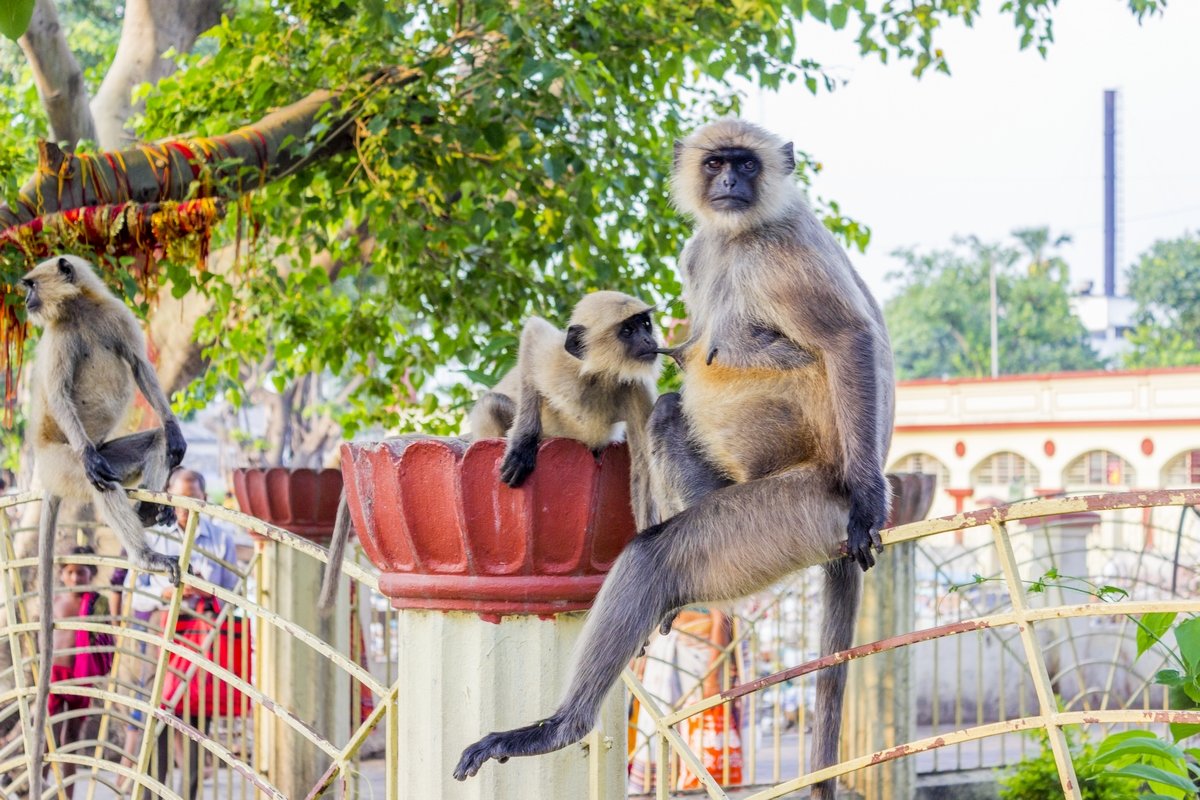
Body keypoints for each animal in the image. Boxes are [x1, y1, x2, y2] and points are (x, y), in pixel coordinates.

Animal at [19, 256, 183, 800]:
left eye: (29, 286)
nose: (25, 300)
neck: (79, 313)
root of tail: (47, 476)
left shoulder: (115, 316)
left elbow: (140, 366)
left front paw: (176, 432)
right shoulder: (56, 339)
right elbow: (60, 395)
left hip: (109, 451)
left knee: (150, 443)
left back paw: (152, 512)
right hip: (65, 462)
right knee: (97, 481)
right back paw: (145, 551)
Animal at [314, 293, 662, 614]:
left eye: (645, 324)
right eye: (628, 330)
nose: (650, 340)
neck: (596, 376)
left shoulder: (636, 388)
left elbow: (644, 469)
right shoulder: (557, 361)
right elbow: (532, 335)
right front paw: (523, 444)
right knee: (490, 403)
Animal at [453, 118, 897, 800]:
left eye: (745, 163)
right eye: (716, 163)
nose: (731, 182)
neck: (737, 235)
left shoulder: (782, 246)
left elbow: (850, 336)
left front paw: (872, 503)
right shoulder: (699, 251)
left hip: (798, 510)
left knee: (655, 556)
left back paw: (559, 728)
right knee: (666, 412)